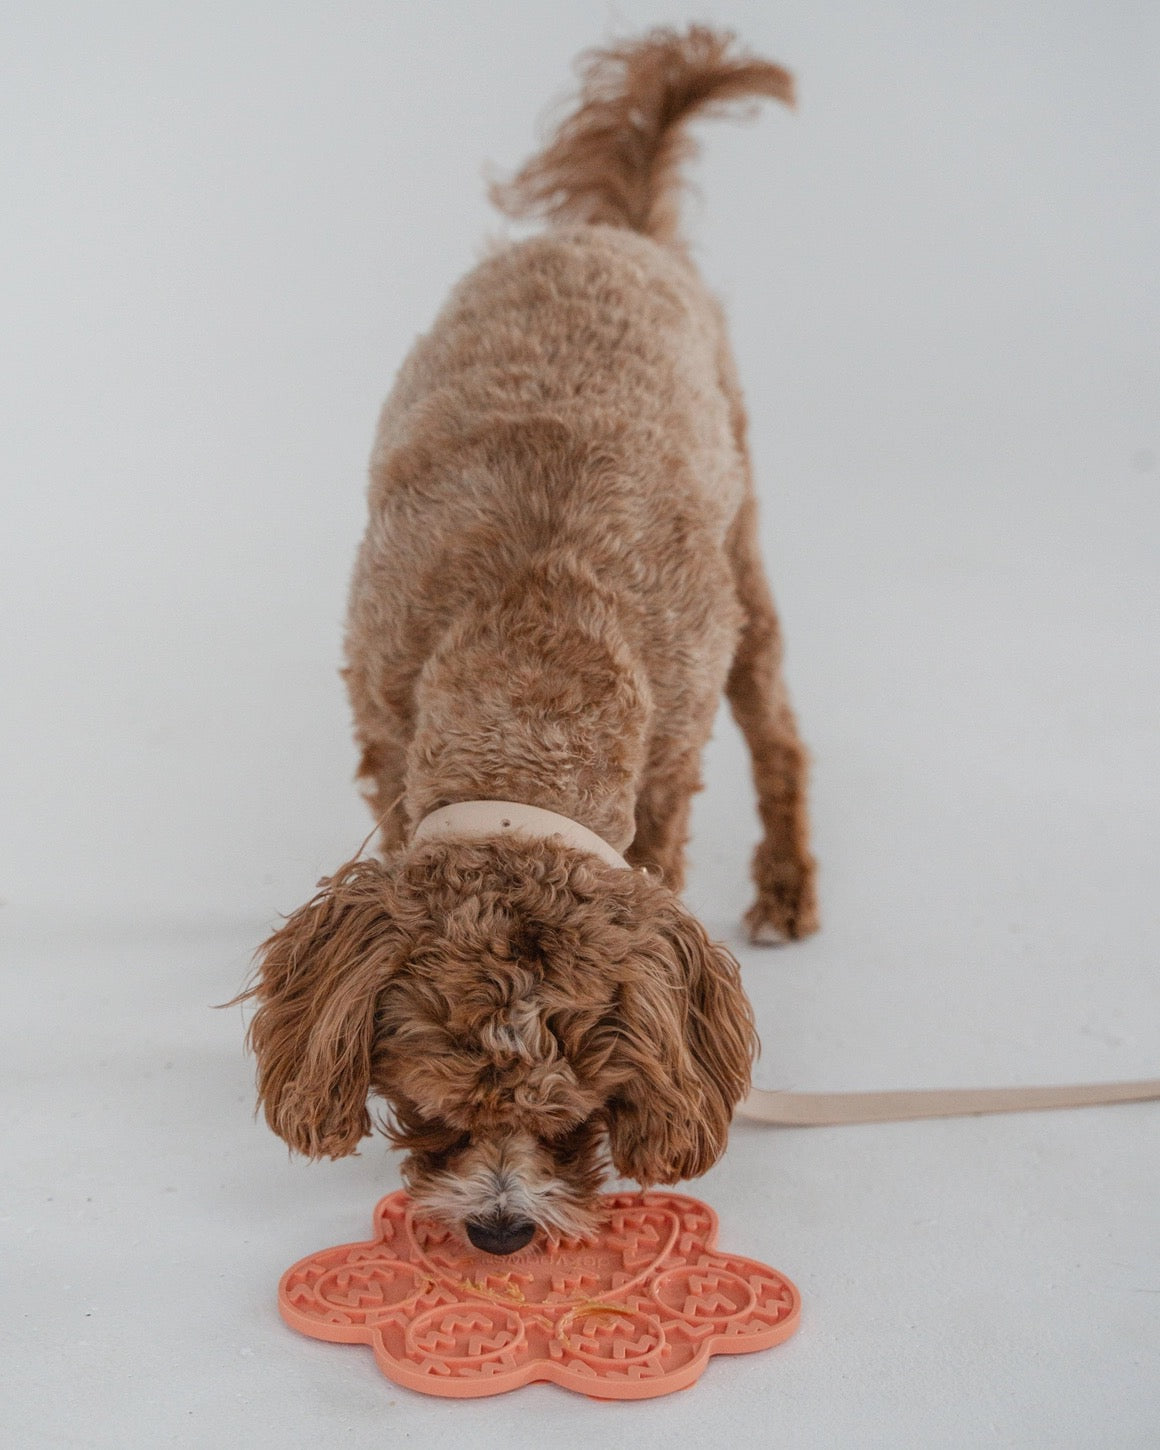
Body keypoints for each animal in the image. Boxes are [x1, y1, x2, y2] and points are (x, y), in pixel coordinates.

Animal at [240, 28, 817, 1264]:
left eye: (575, 1120)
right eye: (432, 1108)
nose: (500, 1232)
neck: (533, 655)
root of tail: (616, 232)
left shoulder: (664, 773)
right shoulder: (384, 726)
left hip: (743, 563)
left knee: (781, 731)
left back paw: (790, 888)